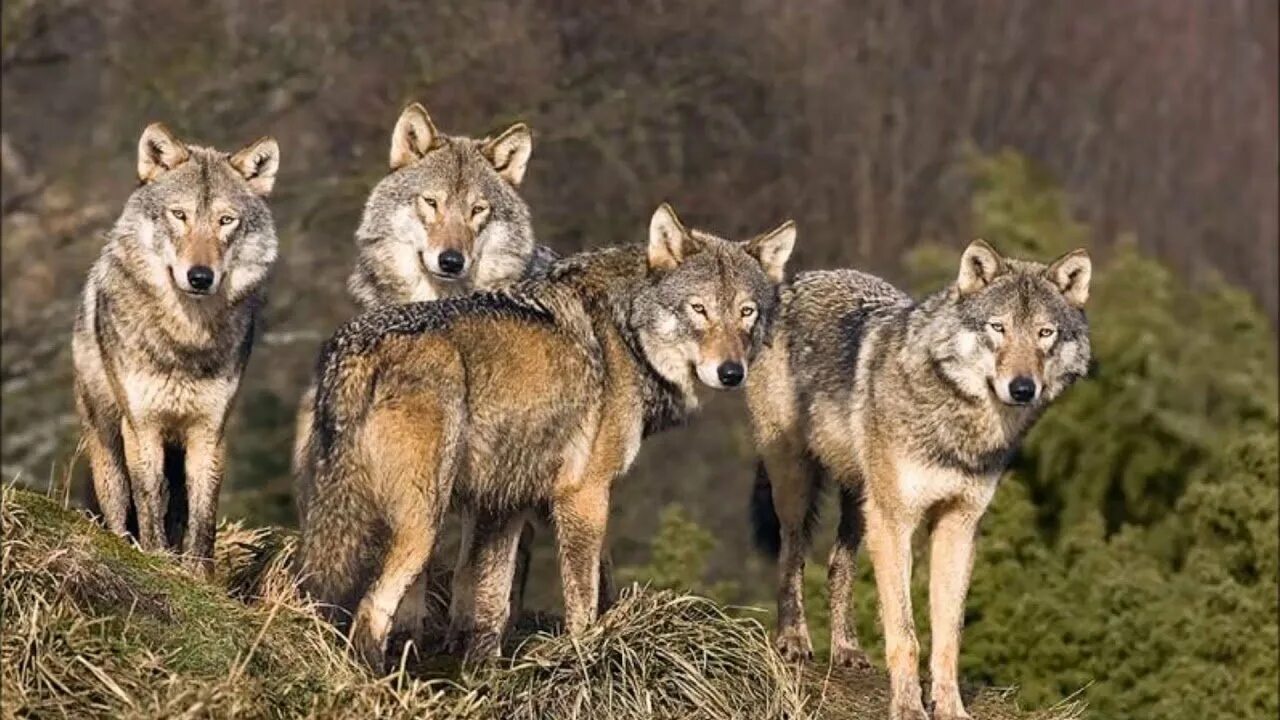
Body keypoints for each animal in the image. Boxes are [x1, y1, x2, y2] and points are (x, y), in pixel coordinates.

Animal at [72, 123, 280, 576]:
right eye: (179, 215)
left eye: (225, 221)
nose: (200, 276)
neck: (185, 339)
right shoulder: (142, 426)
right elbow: (149, 503)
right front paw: (156, 561)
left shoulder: (210, 431)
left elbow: (203, 518)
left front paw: (199, 576)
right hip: (107, 444)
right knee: (120, 507)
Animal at [297, 203, 796, 668]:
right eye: (699, 309)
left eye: (746, 313)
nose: (731, 372)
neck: (627, 333)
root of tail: (355, 349)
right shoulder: (584, 494)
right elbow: (584, 597)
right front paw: (584, 658)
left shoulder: (506, 503)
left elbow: (490, 605)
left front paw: (486, 673)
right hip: (422, 524)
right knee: (370, 612)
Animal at [747, 240, 1091, 720]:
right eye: (998, 328)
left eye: (1045, 333)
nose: (1023, 388)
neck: (959, 424)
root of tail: (801, 278)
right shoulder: (897, 523)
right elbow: (905, 634)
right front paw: (909, 707)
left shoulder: (958, 525)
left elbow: (948, 635)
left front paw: (950, 708)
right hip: (798, 482)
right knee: (792, 553)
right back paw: (793, 639)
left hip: (861, 501)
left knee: (837, 564)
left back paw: (846, 649)